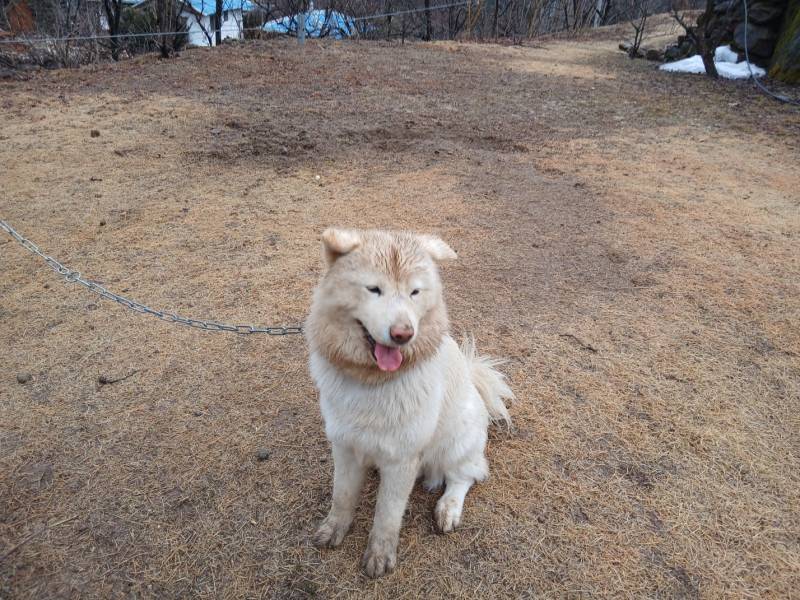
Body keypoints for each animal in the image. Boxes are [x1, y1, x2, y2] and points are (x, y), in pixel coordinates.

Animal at [306, 229, 512, 576]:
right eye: (374, 289)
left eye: (415, 292)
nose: (403, 334)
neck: (372, 382)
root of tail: (475, 378)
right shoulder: (345, 445)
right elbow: (342, 496)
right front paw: (334, 530)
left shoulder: (401, 459)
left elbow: (387, 515)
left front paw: (379, 557)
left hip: (455, 443)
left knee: (466, 475)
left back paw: (448, 509)